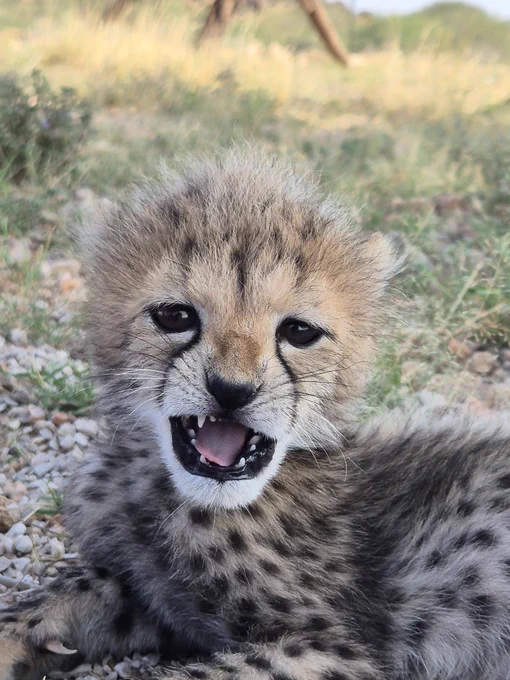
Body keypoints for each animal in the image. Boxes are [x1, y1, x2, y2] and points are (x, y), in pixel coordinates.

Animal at [1, 149, 510, 680]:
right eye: (175, 316)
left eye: (300, 331)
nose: (232, 390)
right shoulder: (157, 597)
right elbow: (73, 590)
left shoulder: (331, 650)